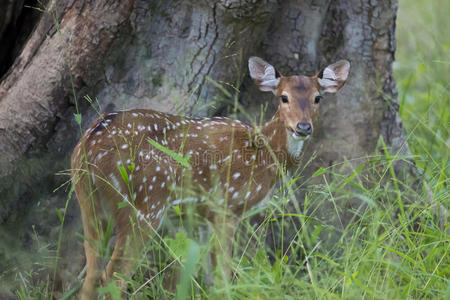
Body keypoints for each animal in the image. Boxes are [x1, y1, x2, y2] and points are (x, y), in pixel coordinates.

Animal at [72, 56, 350, 298]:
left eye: (317, 98)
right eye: (284, 97)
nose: (303, 127)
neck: (261, 155)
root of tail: (88, 148)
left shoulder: (204, 217)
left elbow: (209, 275)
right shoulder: (226, 206)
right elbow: (223, 274)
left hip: (89, 205)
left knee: (92, 276)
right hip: (145, 204)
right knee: (114, 276)